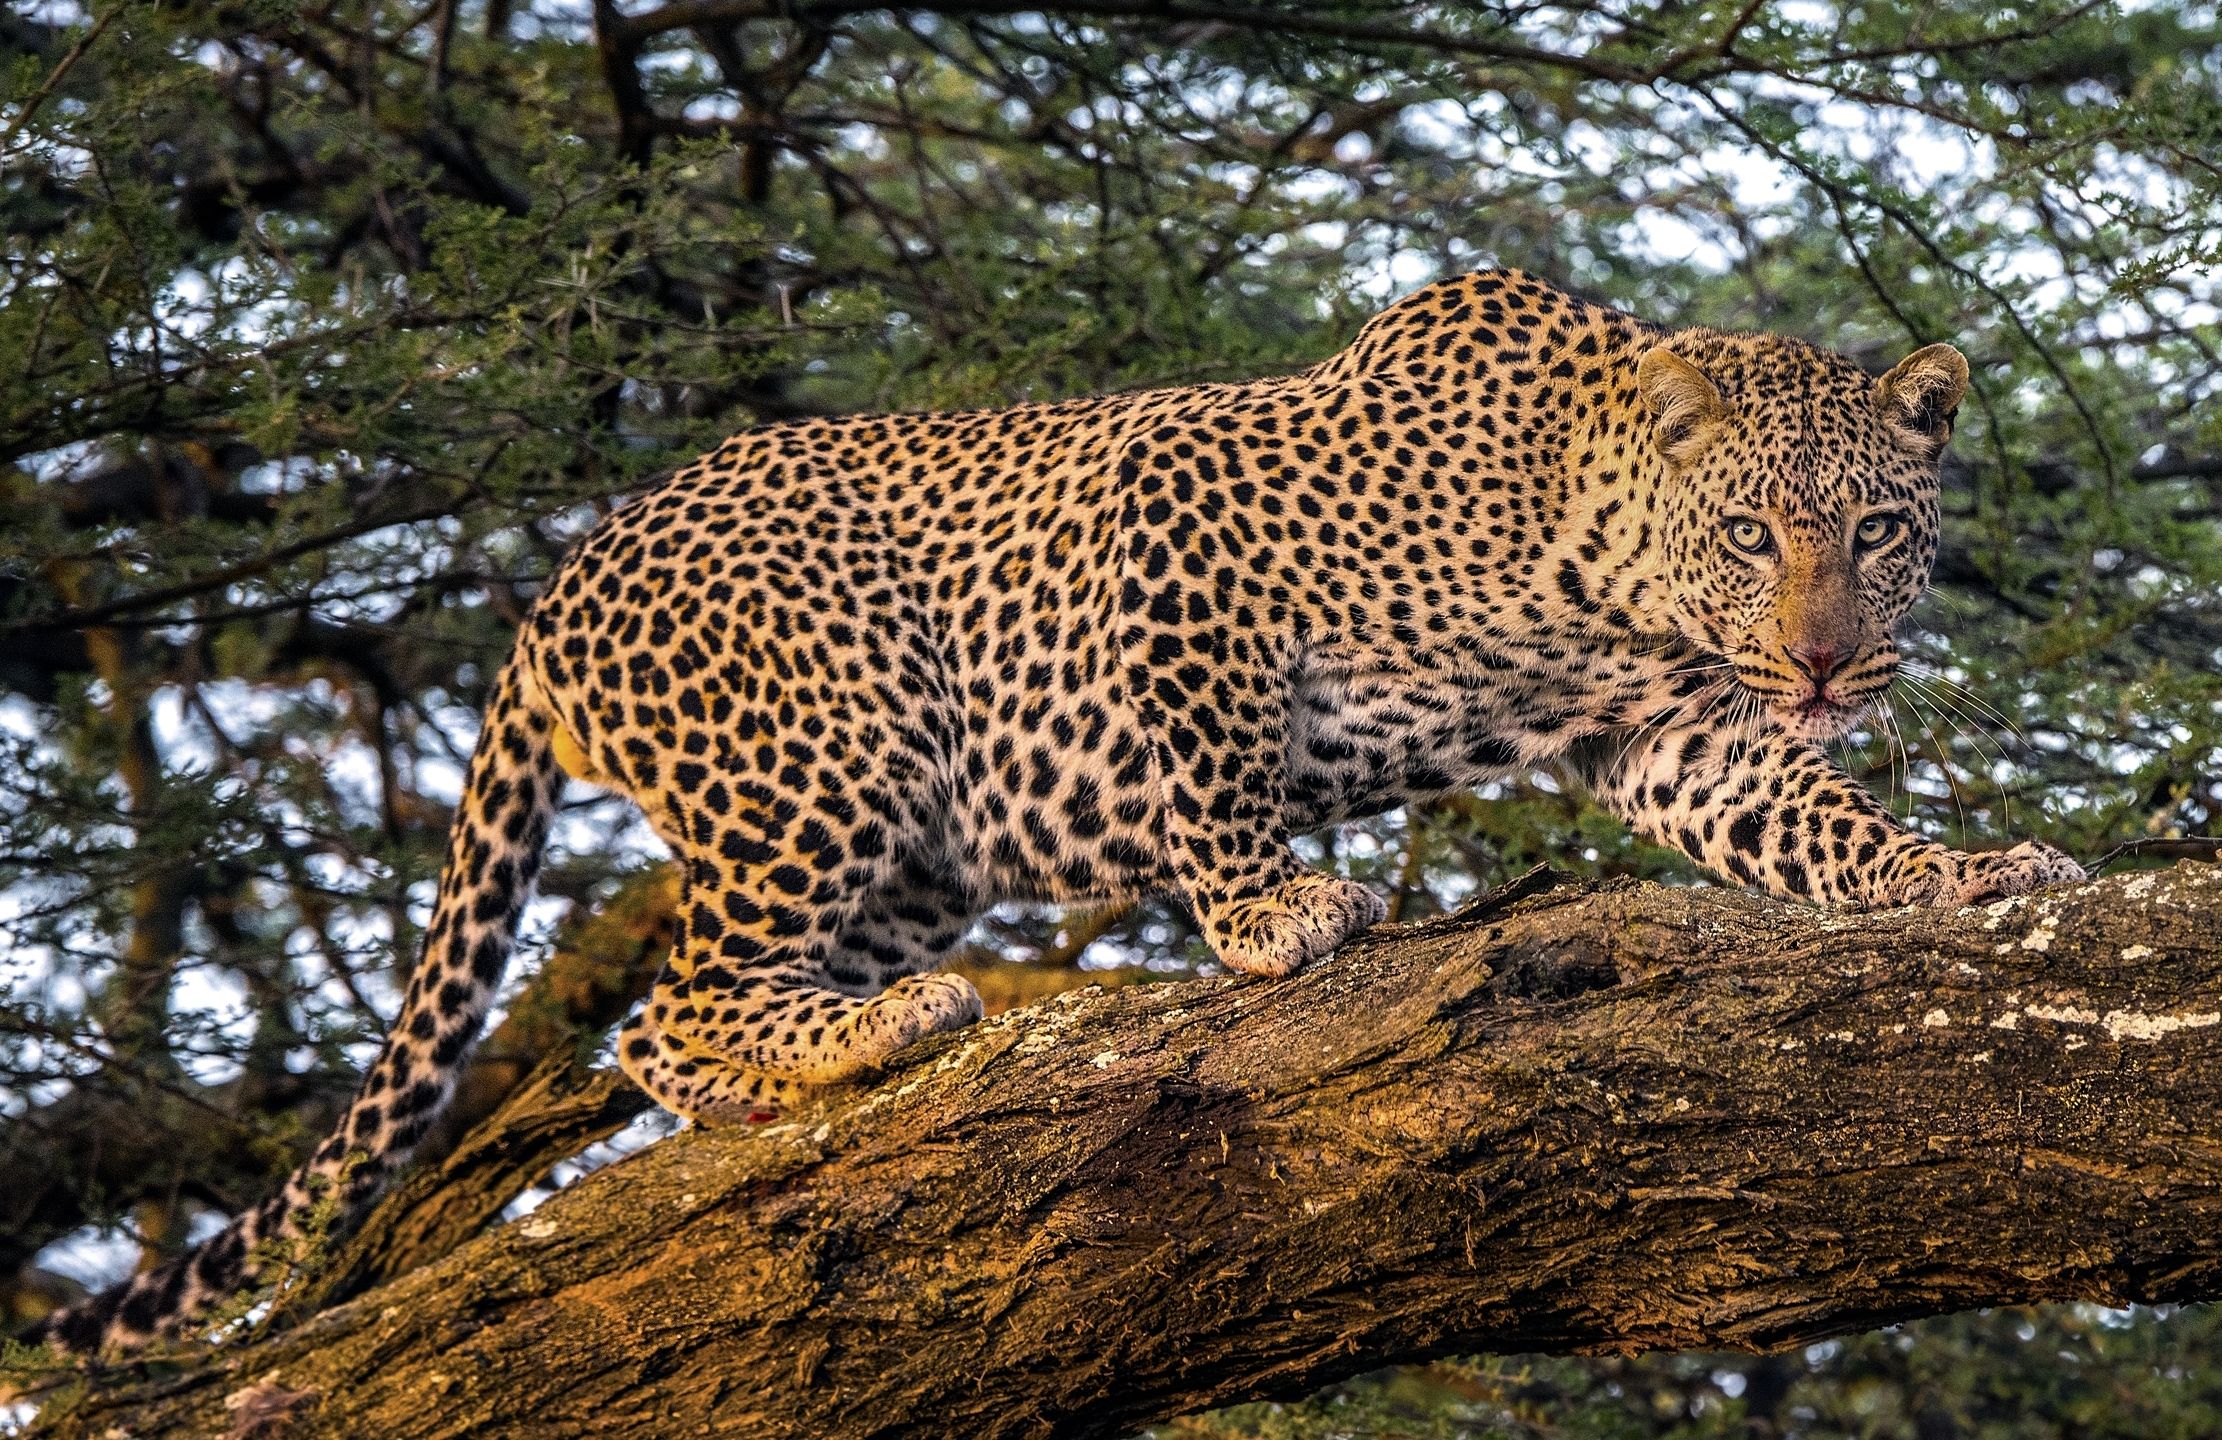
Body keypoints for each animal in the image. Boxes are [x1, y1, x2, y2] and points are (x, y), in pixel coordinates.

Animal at [34, 267, 2083, 1354]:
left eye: (1875, 533)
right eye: (1752, 532)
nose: (1825, 662)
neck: (1594, 557)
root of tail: (548, 602)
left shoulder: (1678, 735)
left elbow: (1812, 825)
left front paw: (1962, 871)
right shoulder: (1177, 525)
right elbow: (1213, 758)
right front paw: (1272, 916)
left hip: (909, 839)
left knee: (673, 1031)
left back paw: (837, 1046)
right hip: (830, 730)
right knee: (665, 1008)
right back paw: (878, 1036)